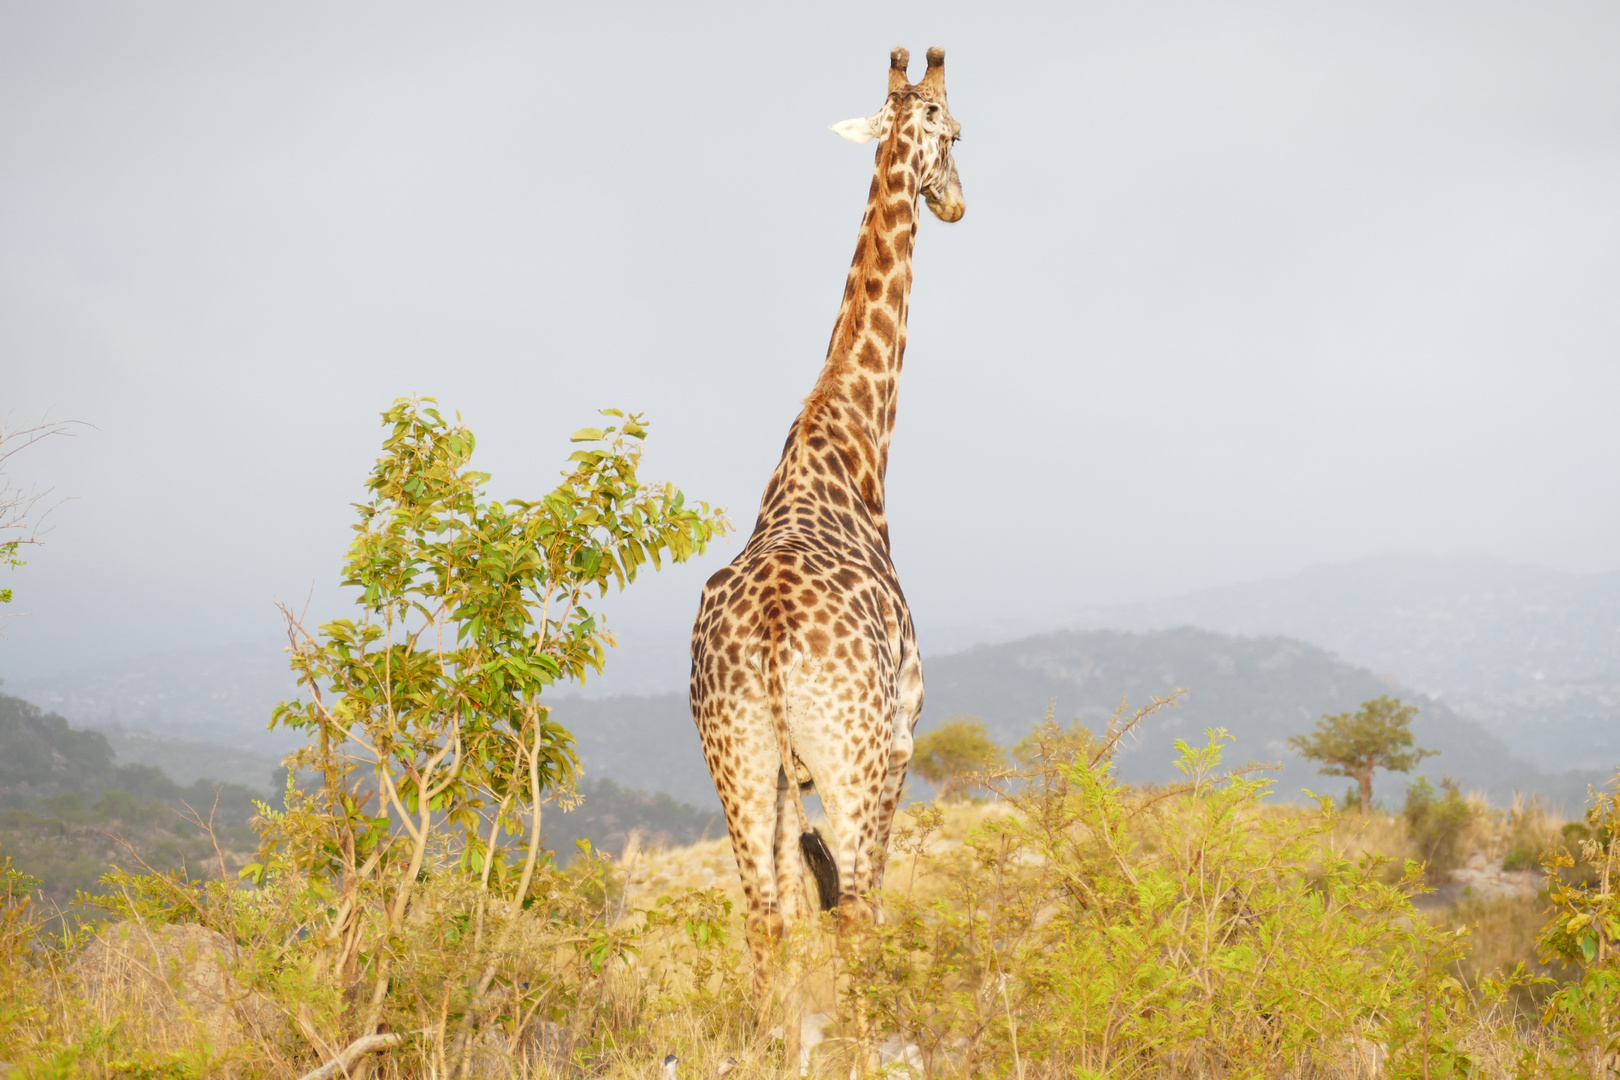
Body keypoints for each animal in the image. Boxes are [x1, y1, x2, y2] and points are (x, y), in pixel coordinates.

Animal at [686, 48, 959, 997]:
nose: (956, 201)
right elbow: (860, 904)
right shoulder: (903, 737)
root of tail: (771, 642)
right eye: (957, 135)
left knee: (765, 920)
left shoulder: (782, 772)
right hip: (850, 756)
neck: (848, 447)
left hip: (738, 760)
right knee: (856, 915)